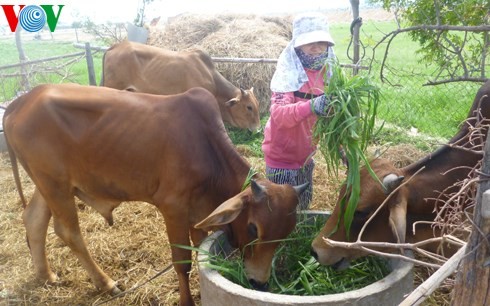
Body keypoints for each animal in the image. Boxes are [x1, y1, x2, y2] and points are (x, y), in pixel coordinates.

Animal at [1, 83, 304, 306]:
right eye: (253, 228)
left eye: (288, 231)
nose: (259, 282)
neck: (206, 147)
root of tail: (21, 101)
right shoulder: (173, 208)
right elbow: (182, 262)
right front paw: (186, 301)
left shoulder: (198, 213)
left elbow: (197, 250)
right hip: (55, 185)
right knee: (68, 232)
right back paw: (107, 283)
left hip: (48, 185)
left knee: (34, 220)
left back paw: (47, 276)